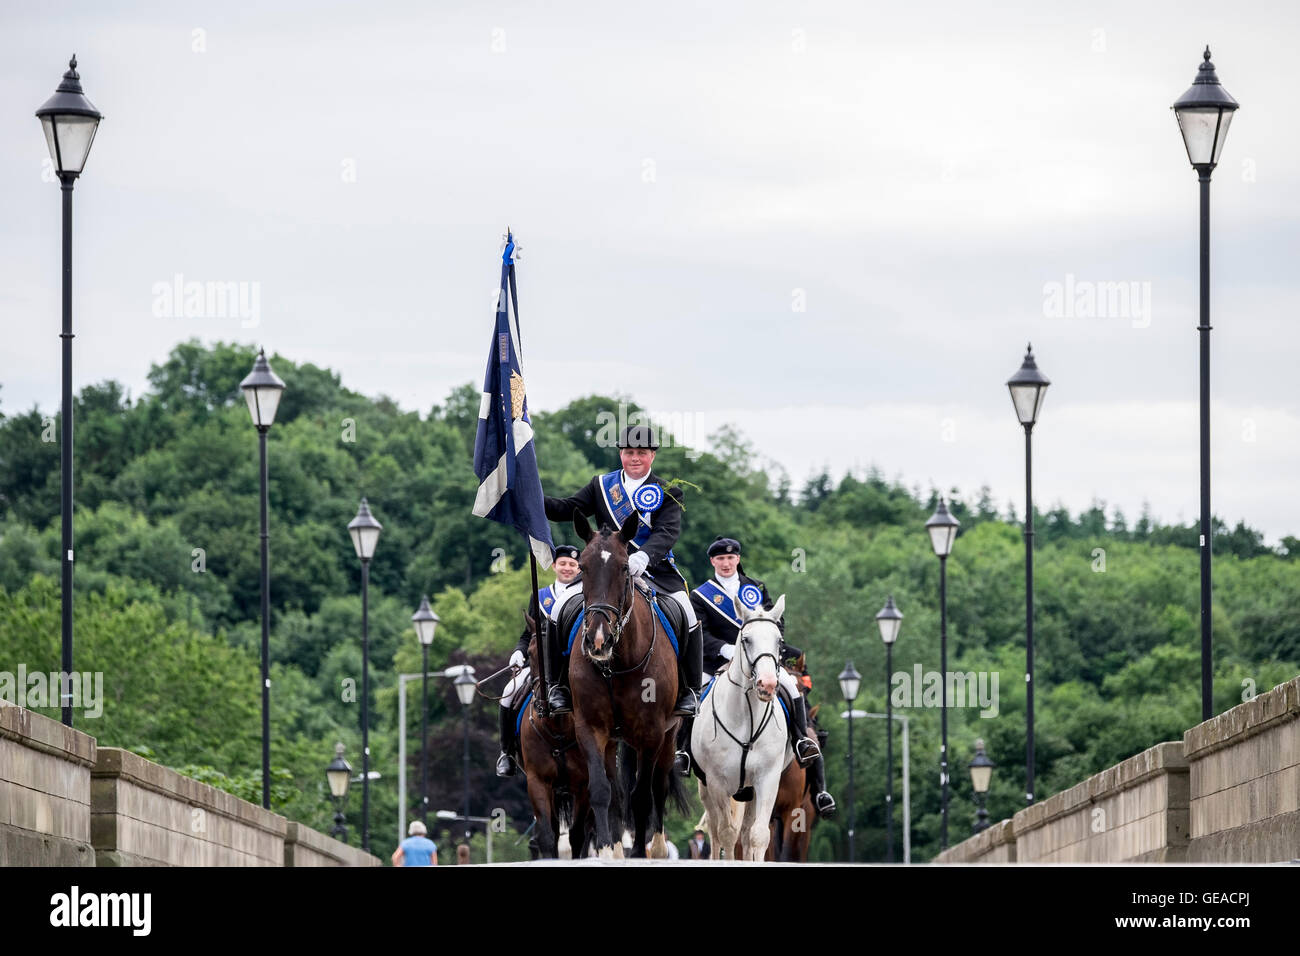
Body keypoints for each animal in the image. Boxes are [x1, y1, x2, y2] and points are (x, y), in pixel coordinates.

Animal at [572, 512, 691, 858]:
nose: (598, 640)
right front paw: (607, 850)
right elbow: (602, 791)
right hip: (614, 739)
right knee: (615, 789)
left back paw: (657, 849)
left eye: (625, 567)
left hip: (668, 737)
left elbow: (642, 795)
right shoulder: (590, 727)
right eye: (582, 566)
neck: (617, 663)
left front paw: (639, 851)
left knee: (657, 787)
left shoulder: (652, 732)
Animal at [691, 598, 790, 858]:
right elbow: (726, 834)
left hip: (750, 791)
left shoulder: (767, 779)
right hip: (706, 788)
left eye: (779, 641)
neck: (748, 719)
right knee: (715, 832)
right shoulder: (717, 783)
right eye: (746, 639)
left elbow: (758, 835)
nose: (767, 685)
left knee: (745, 834)